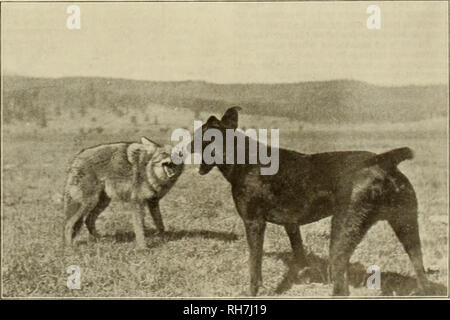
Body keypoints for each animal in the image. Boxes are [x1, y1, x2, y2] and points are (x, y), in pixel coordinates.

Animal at [191, 106, 428, 296]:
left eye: (196, 136)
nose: (184, 146)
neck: (241, 157)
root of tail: (384, 161)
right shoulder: (291, 224)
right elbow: (299, 253)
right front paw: (304, 276)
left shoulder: (254, 223)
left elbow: (254, 266)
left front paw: (253, 292)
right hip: (407, 227)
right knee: (420, 268)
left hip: (342, 232)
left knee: (341, 282)